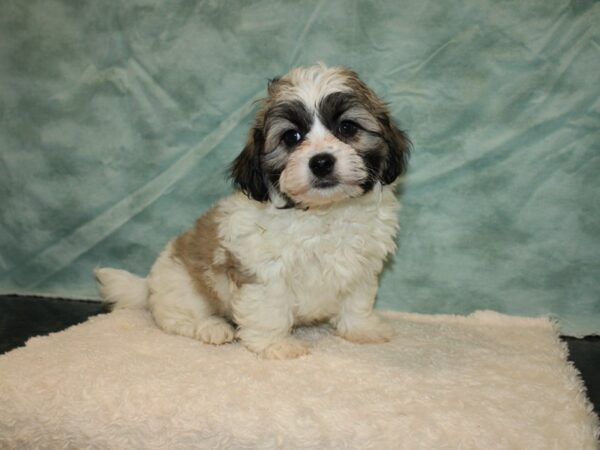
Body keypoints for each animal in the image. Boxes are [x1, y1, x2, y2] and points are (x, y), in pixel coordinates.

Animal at [96, 62, 410, 358]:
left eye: (347, 128)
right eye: (292, 137)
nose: (321, 162)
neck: (323, 212)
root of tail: (148, 284)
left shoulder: (363, 265)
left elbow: (357, 300)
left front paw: (361, 329)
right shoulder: (264, 271)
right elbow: (270, 307)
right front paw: (276, 344)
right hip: (183, 285)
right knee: (177, 318)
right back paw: (211, 327)